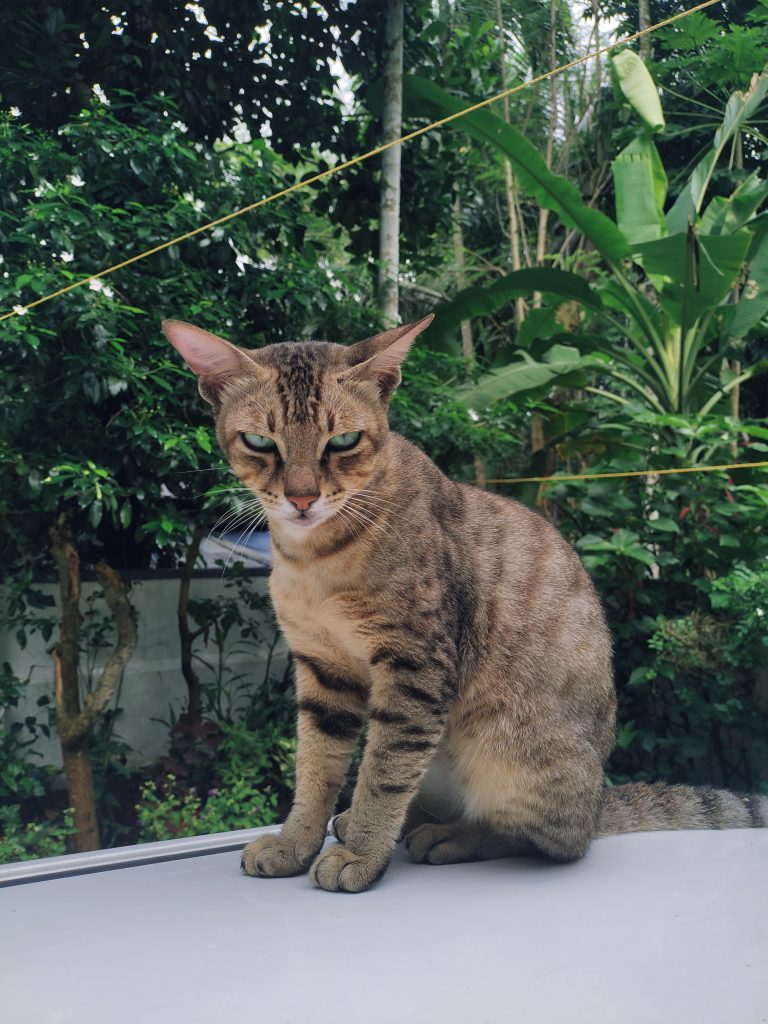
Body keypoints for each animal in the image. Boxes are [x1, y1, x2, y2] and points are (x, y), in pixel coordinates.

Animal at [163, 315, 768, 892]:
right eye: (261, 442)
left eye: (344, 440)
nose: (303, 497)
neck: (315, 558)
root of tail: (597, 803)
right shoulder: (323, 669)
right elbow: (316, 768)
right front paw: (298, 841)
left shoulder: (416, 664)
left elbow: (383, 771)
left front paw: (362, 853)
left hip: (518, 757)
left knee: (544, 841)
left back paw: (447, 836)